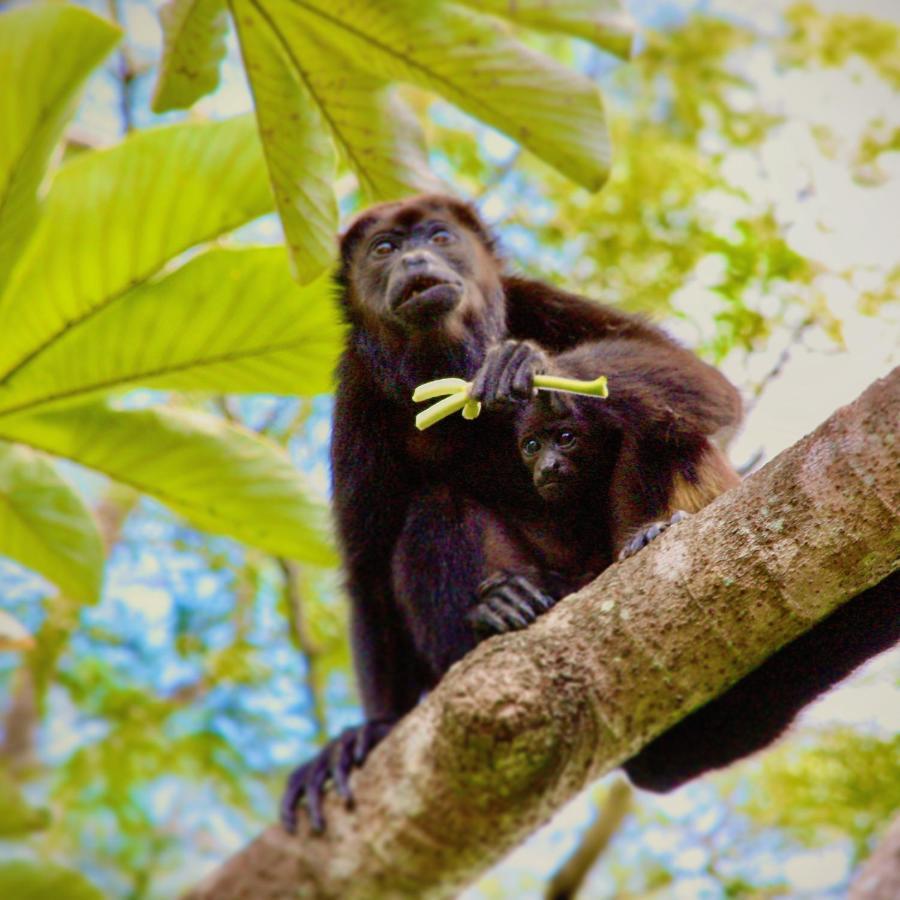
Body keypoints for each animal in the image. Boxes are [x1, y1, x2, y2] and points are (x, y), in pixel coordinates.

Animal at [280, 195, 892, 828]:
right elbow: (369, 569)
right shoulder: (356, 390)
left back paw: (647, 536)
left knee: (665, 422)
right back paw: (500, 612)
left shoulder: (531, 297)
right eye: (385, 249)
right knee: (431, 509)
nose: (416, 259)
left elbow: (706, 384)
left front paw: (536, 364)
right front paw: (372, 730)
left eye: (439, 237)